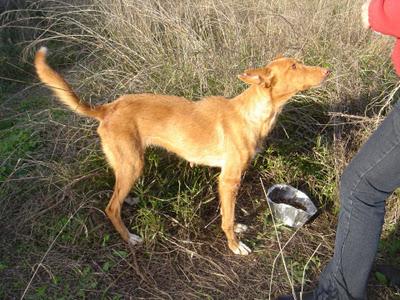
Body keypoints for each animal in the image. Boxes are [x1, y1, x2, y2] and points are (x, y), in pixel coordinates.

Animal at [34, 47, 330, 255]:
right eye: (294, 66)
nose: (327, 71)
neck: (253, 114)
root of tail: (108, 107)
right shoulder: (228, 179)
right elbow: (227, 217)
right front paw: (234, 244)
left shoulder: (228, 180)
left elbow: (228, 212)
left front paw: (236, 226)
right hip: (133, 163)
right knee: (110, 207)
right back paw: (129, 237)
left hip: (127, 164)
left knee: (117, 191)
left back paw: (130, 199)